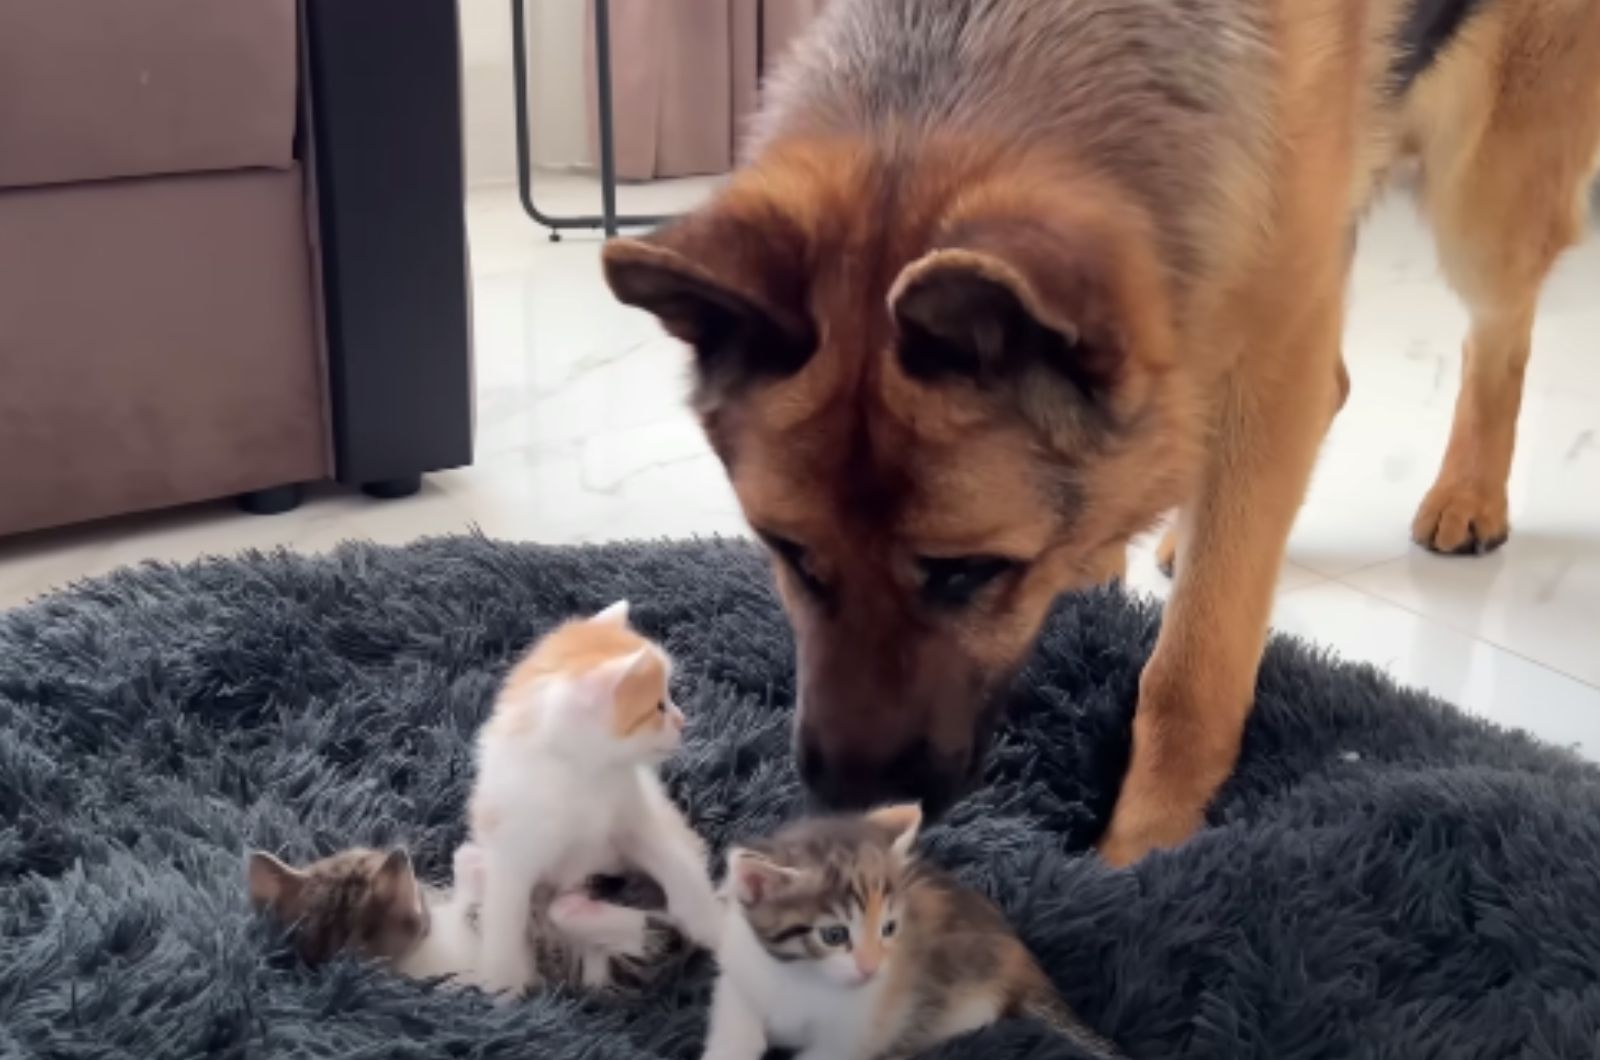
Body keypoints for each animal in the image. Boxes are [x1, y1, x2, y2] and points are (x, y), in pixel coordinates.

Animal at [467, 605, 720, 999]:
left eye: (669, 698)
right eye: (658, 707)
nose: (683, 721)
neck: (583, 774)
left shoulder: (633, 815)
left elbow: (673, 861)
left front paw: (709, 921)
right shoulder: (512, 850)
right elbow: (505, 916)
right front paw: (503, 985)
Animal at [601, 0, 1600, 871]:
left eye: (969, 571)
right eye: (788, 553)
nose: (850, 812)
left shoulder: (1265, 367)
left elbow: (1190, 673)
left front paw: (1142, 856)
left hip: (1481, 198)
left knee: (1497, 337)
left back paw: (1468, 493)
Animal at [707, 810, 1120, 1060]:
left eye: (889, 928)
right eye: (834, 935)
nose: (871, 969)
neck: (798, 976)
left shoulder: (858, 1029)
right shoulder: (740, 966)